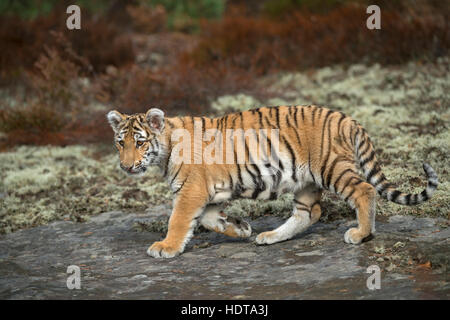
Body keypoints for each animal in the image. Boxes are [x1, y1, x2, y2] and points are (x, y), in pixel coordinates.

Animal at [107, 106, 438, 258]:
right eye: (120, 143)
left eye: (139, 143)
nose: (125, 166)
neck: (165, 150)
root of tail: (347, 118)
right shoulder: (209, 193)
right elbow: (211, 220)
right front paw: (240, 228)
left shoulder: (191, 192)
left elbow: (178, 220)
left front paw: (165, 247)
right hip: (306, 181)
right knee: (310, 213)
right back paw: (270, 237)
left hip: (331, 168)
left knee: (365, 190)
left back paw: (361, 234)